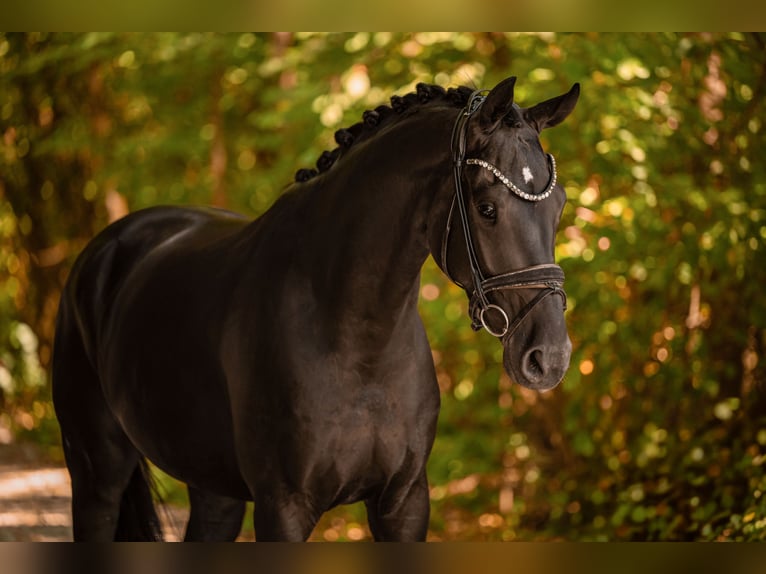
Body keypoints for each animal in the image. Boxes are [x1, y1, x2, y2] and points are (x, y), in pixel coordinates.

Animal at [52, 76, 579, 541]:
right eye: (487, 208)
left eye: (558, 206)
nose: (549, 358)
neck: (356, 339)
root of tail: (109, 246)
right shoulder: (283, 508)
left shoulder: (405, 502)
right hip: (97, 475)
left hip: (213, 487)